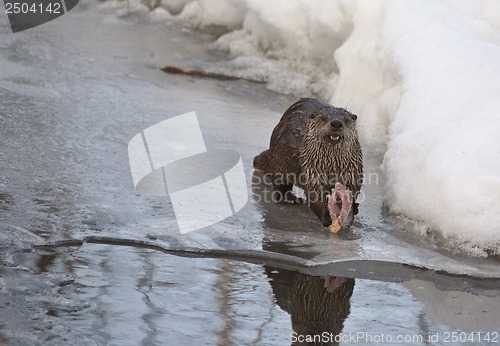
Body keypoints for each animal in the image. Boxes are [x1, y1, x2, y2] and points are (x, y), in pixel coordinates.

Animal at [254, 98, 364, 227]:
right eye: (323, 118)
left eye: (346, 120)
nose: (336, 123)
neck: (332, 166)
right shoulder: (312, 171)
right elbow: (315, 195)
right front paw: (326, 217)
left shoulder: (353, 171)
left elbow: (353, 190)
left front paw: (350, 212)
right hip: (279, 159)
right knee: (279, 184)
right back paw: (290, 199)